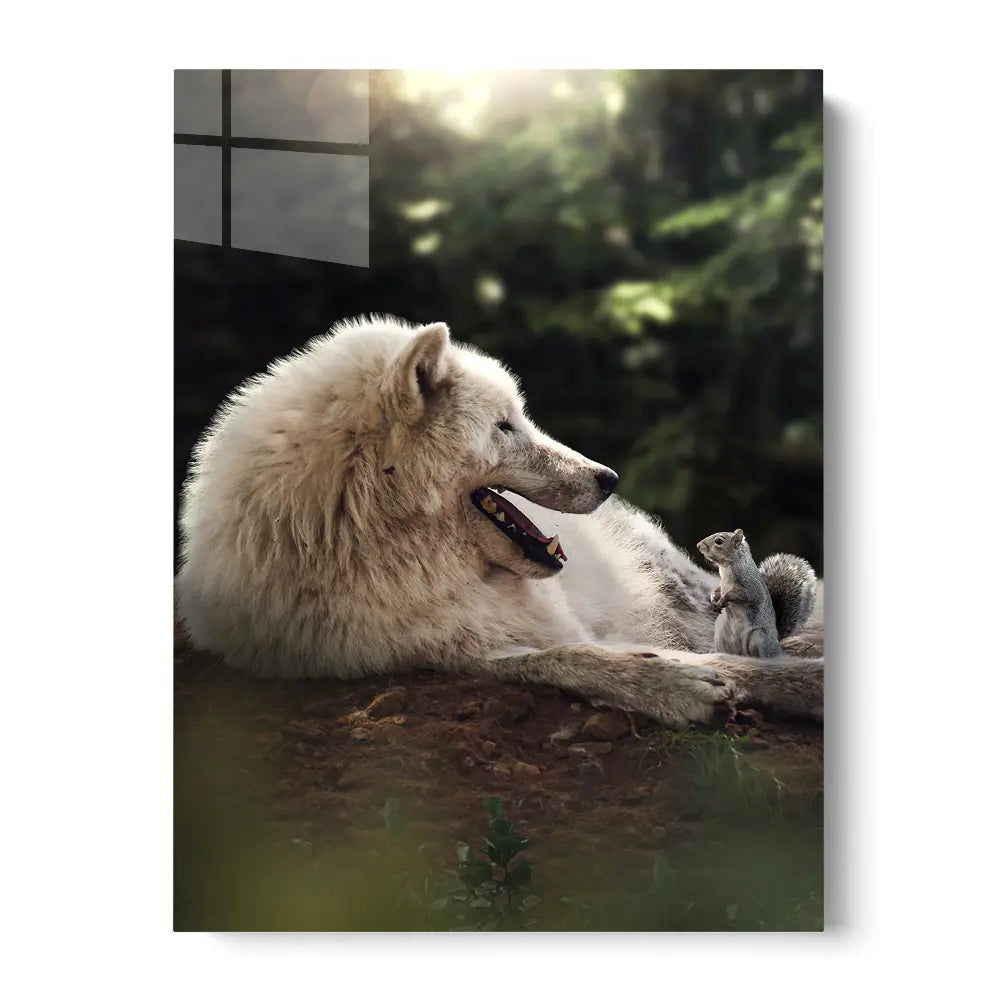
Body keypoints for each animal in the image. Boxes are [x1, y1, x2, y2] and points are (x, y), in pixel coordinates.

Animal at [697, 529, 816, 658]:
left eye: (719, 541)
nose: (698, 545)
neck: (726, 567)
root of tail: (776, 643)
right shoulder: (722, 584)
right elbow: (718, 590)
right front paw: (713, 598)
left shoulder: (749, 587)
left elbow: (740, 595)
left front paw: (723, 600)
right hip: (721, 635)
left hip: (760, 638)